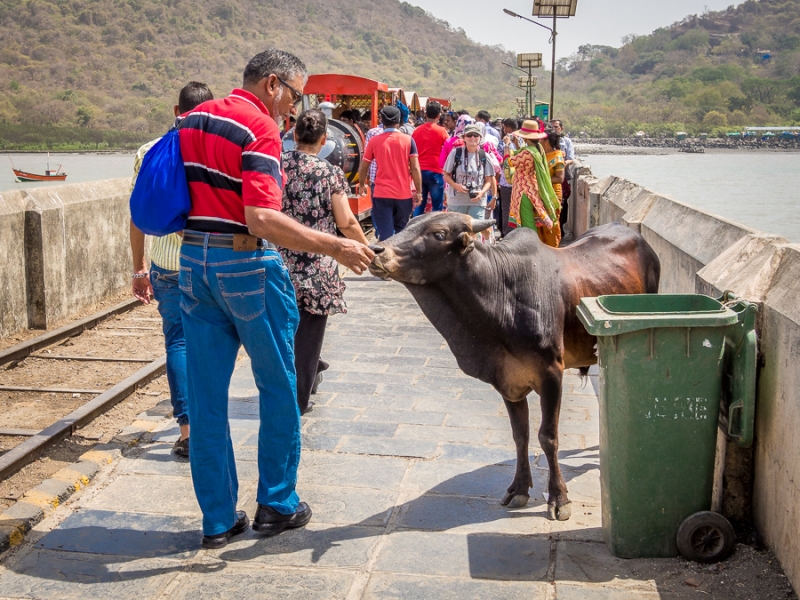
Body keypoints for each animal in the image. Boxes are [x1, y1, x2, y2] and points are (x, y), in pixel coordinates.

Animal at [372, 214, 660, 520]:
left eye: (438, 234)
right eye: (408, 224)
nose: (376, 250)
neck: (502, 298)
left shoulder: (551, 374)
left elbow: (548, 436)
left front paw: (559, 498)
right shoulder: (507, 381)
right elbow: (520, 435)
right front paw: (519, 489)